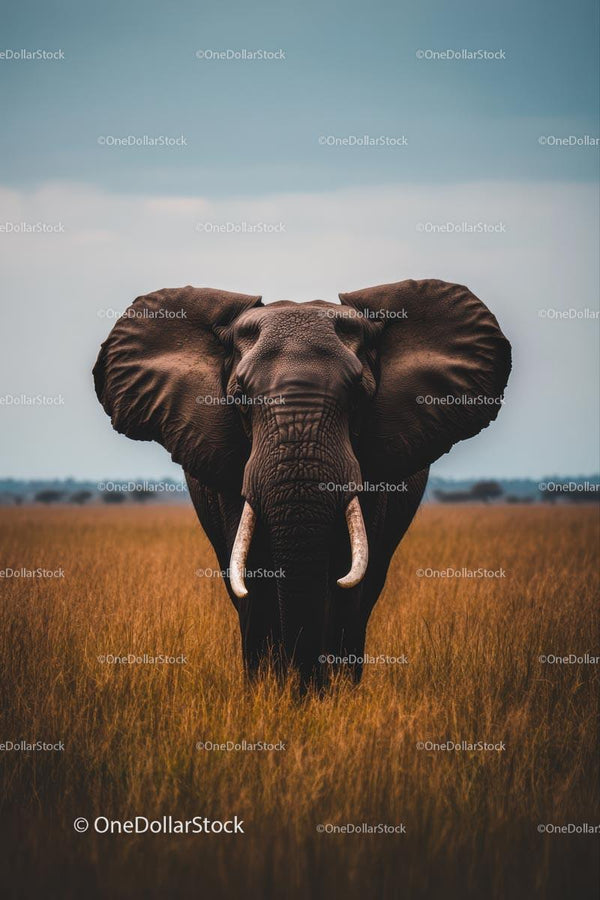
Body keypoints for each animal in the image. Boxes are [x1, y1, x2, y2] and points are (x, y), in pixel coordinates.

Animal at [93, 279, 511, 688]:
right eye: (240, 397)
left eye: (358, 396)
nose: (302, 683)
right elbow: (253, 573)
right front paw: (268, 692)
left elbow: (346, 575)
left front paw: (330, 695)